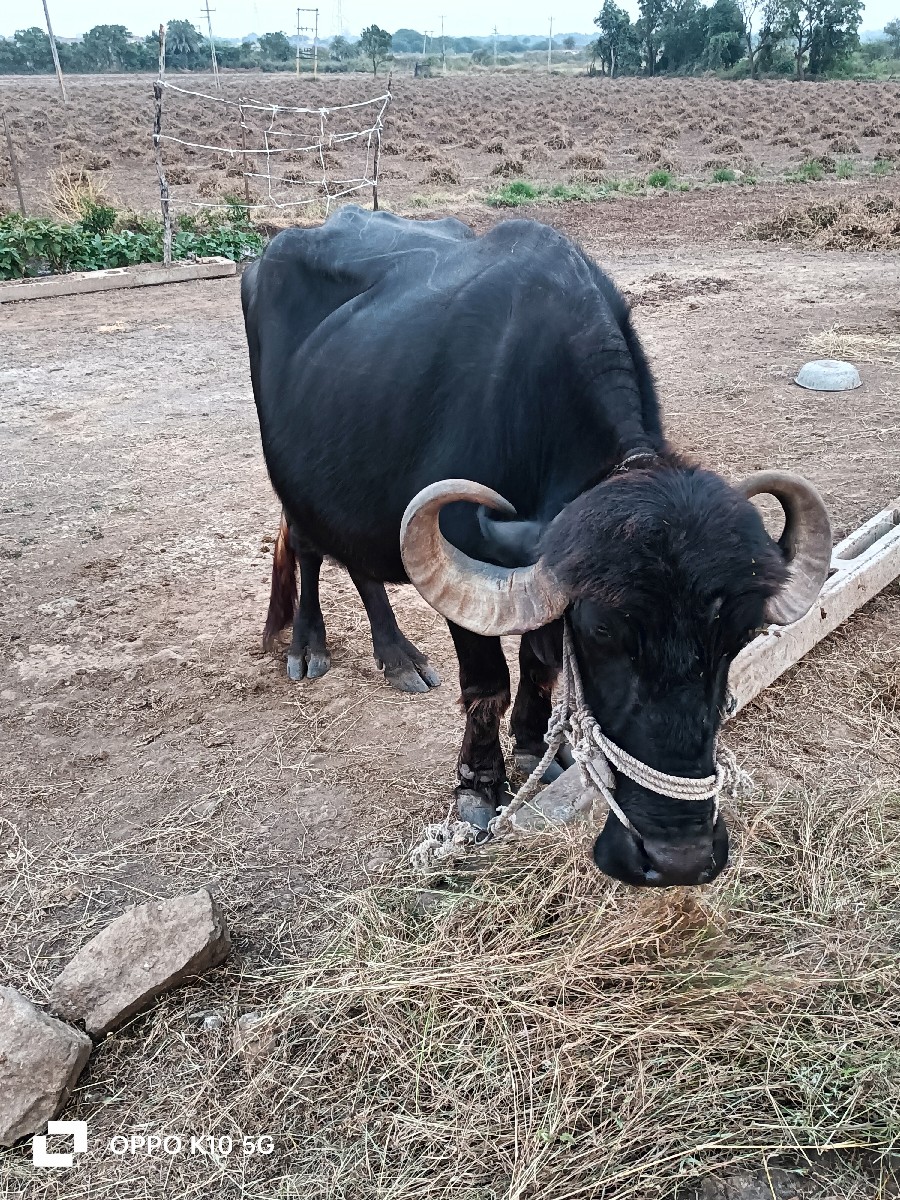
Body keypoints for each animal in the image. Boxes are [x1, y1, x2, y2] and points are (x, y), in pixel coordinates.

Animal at [241, 205, 831, 888]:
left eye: (739, 637)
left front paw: (534, 747)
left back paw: (399, 658)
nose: (678, 859)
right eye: (603, 632)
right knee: (308, 546)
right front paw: (479, 789)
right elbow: (487, 683)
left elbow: (540, 663)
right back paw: (308, 646)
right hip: (295, 479)